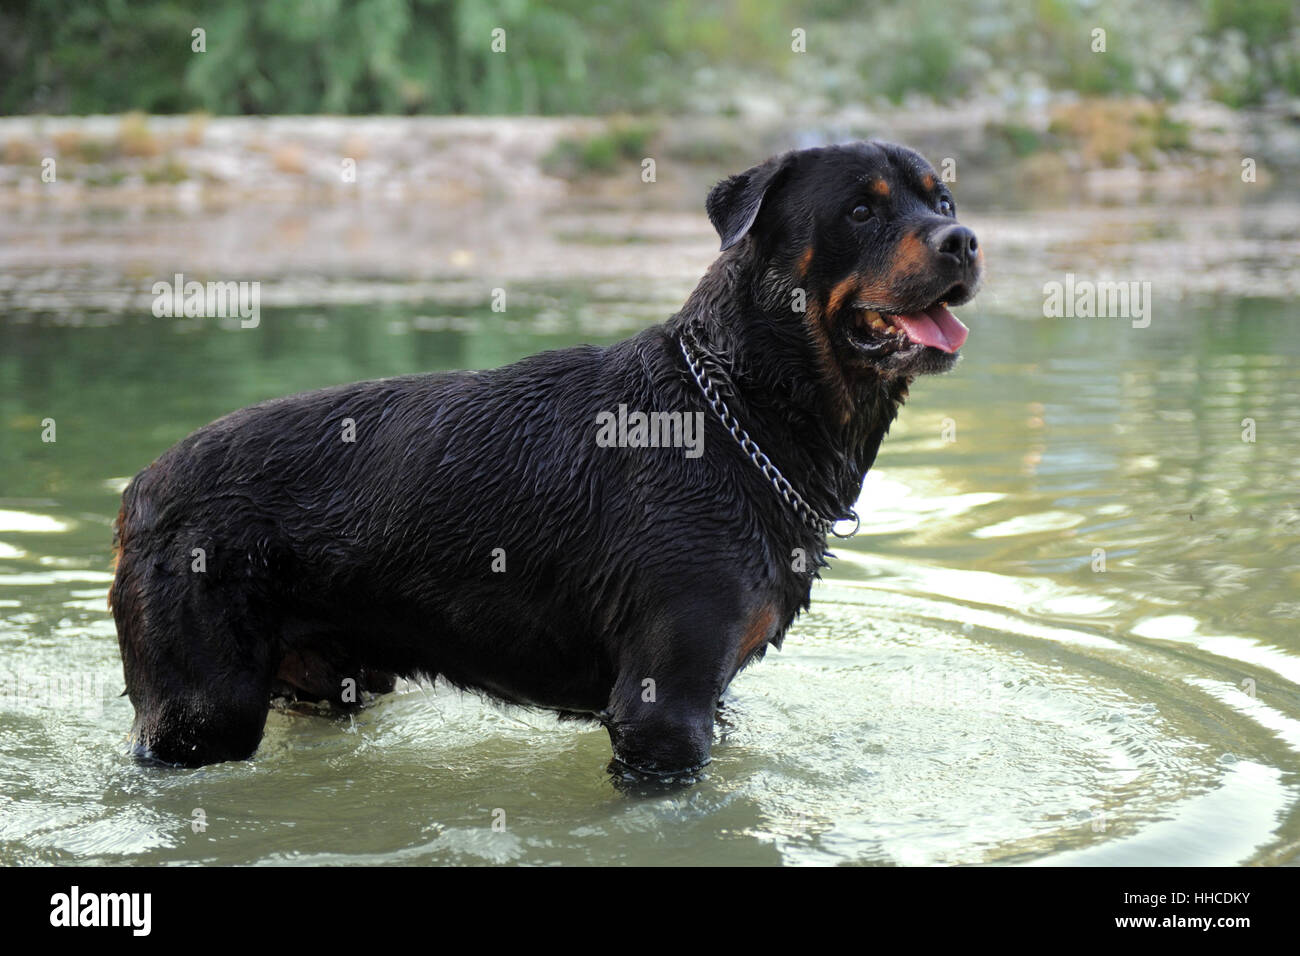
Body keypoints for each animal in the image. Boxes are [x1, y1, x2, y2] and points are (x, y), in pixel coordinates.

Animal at [111, 143, 977, 785]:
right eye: (861, 210)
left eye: (943, 203)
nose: (963, 241)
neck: (742, 409)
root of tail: (138, 491)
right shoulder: (663, 710)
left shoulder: (710, 697)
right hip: (202, 712)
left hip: (324, 683)